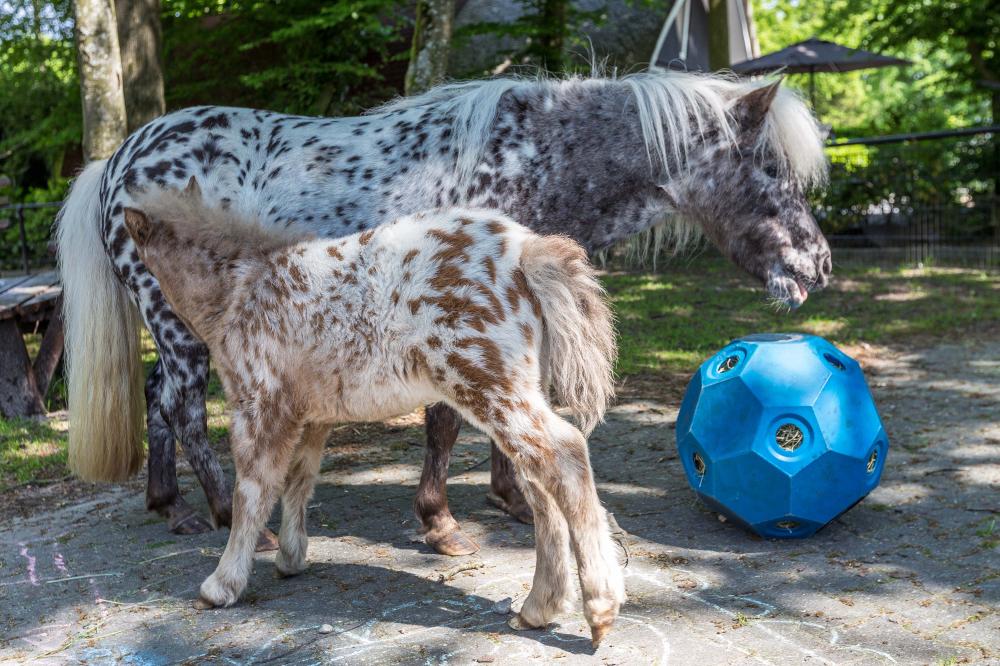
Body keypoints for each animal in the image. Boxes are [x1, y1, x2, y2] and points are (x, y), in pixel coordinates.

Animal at [58, 70, 832, 552]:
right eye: (771, 170)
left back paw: (173, 508)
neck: (532, 160)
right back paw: (224, 514)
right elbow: (444, 424)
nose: (817, 266)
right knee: (183, 407)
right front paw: (441, 524)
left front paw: (513, 501)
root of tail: (121, 158)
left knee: (158, 396)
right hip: (180, 324)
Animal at [123, 187, 624, 644]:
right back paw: (539, 607)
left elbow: (252, 492)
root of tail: (524, 249)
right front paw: (291, 558)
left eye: (135, 253)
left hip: (488, 387)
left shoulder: (260, 407)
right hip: (514, 392)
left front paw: (222, 584)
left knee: (565, 454)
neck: (241, 287)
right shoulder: (313, 416)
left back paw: (599, 609)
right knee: (540, 484)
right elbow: (299, 481)